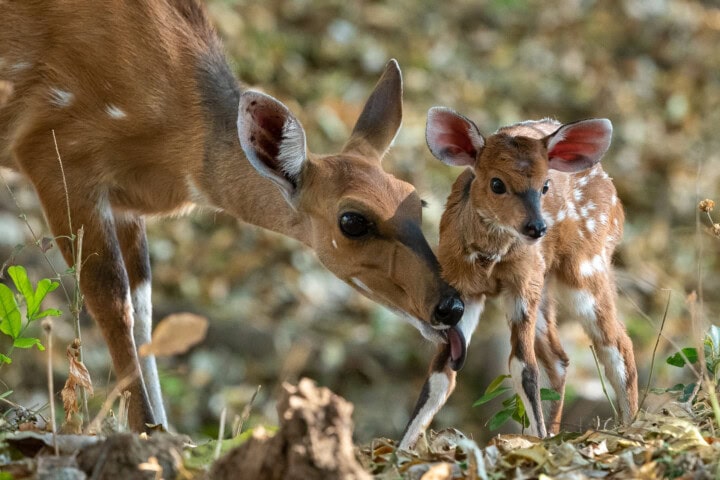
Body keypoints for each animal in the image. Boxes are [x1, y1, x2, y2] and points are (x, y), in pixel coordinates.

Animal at [0, 0, 466, 434]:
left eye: (416, 201)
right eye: (352, 220)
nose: (451, 306)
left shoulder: (123, 202)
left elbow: (144, 305)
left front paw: (167, 432)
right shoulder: (55, 156)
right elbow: (110, 298)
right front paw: (147, 432)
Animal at [399, 107, 638, 448]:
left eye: (545, 185)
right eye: (497, 183)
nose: (537, 228)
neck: (490, 261)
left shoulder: (521, 283)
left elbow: (524, 366)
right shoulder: (461, 288)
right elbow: (441, 372)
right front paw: (400, 449)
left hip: (585, 267)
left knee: (616, 341)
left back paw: (629, 428)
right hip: (545, 286)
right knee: (559, 359)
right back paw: (555, 431)